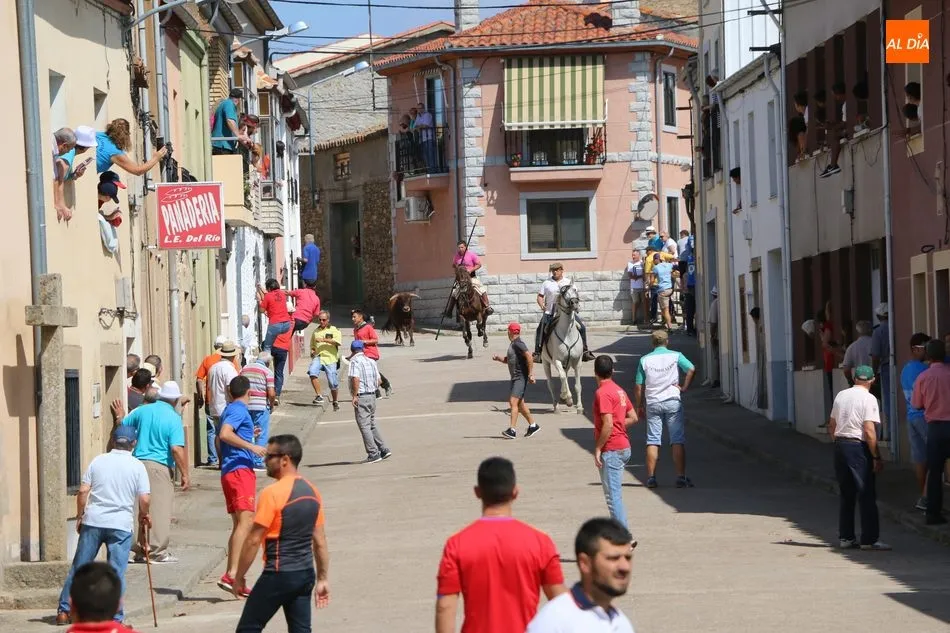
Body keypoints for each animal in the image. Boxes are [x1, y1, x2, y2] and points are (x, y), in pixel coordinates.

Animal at [541, 281, 584, 414]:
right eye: (564, 293)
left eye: (575, 289)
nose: (574, 303)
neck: (568, 333)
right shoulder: (557, 361)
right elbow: (562, 377)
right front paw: (568, 398)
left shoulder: (577, 361)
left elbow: (577, 385)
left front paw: (579, 407)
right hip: (546, 363)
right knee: (551, 383)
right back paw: (557, 405)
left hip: (567, 363)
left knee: (564, 376)